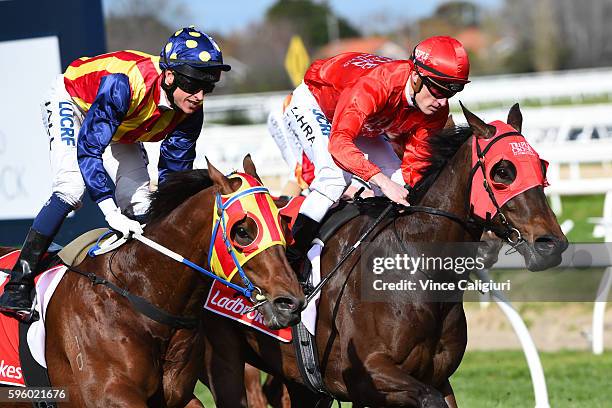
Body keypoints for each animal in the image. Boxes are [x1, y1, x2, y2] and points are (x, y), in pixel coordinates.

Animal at [195, 103, 568, 406]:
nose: (551, 244)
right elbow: (427, 399)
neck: (415, 268)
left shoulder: (436, 376)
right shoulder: (367, 376)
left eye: (542, 165)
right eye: (502, 171)